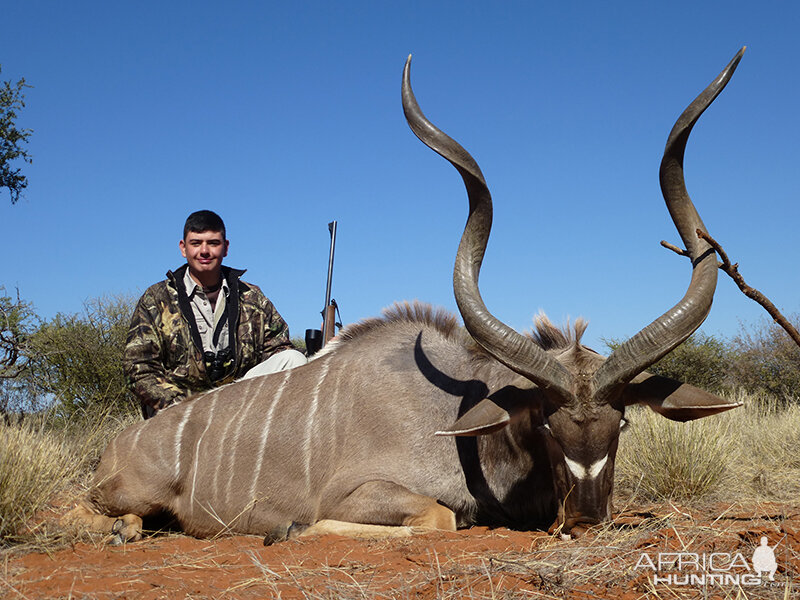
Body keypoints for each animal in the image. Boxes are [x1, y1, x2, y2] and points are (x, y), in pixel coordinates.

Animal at [67, 49, 744, 540]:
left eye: (620, 422)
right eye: (549, 425)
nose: (585, 520)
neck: (459, 421)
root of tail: (118, 448)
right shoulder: (362, 493)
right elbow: (437, 518)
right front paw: (291, 528)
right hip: (120, 493)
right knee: (83, 511)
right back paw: (125, 529)